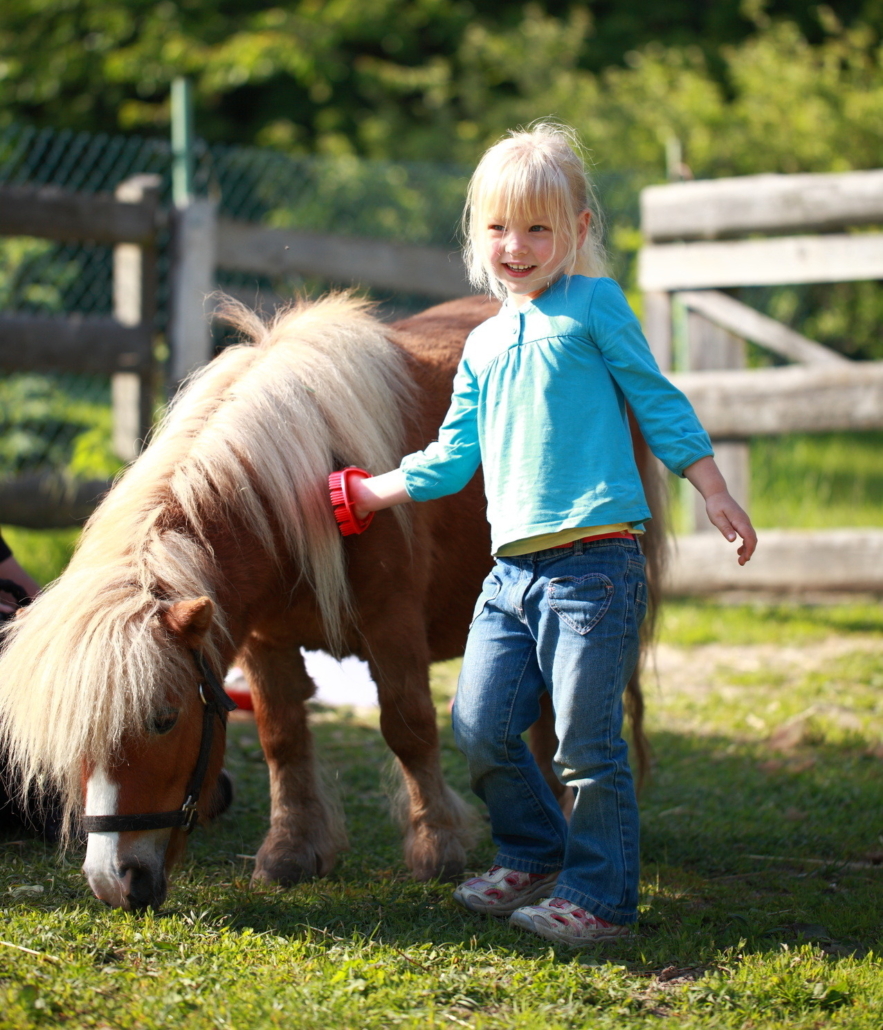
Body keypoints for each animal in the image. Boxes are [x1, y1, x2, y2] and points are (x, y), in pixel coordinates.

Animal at [0, 291, 665, 911]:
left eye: (163, 719)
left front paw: (438, 844)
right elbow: (282, 738)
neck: (299, 493)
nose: (114, 882)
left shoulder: (393, 628)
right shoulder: (262, 641)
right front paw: (292, 850)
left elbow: (409, 728)